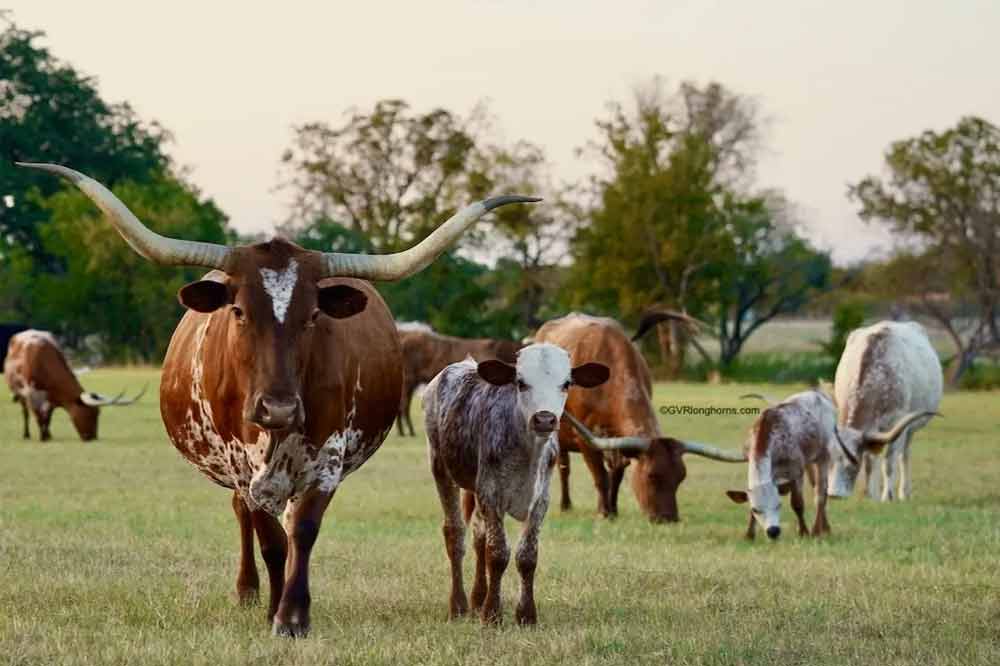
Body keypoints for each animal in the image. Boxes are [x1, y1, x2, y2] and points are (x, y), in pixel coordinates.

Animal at [2, 328, 145, 440]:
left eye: (98, 413)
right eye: (90, 413)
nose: (92, 437)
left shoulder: (52, 397)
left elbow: (48, 417)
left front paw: (48, 435)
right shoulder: (31, 393)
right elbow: (37, 415)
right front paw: (43, 437)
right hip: (19, 393)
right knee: (25, 412)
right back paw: (26, 434)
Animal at [19, 160, 536, 632]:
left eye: (313, 317)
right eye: (239, 312)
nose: (279, 408)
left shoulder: (327, 460)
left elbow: (302, 532)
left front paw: (293, 615)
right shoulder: (240, 465)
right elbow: (268, 540)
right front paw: (271, 608)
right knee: (244, 518)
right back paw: (248, 591)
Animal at [422, 342, 608, 624]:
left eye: (566, 383)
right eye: (521, 382)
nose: (544, 419)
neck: (527, 451)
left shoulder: (540, 500)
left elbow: (527, 555)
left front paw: (526, 614)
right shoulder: (491, 494)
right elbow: (498, 553)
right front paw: (492, 614)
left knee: (478, 536)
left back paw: (478, 597)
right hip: (441, 468)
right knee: (455, 532)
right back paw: (459, 604)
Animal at [532, 314, 744, 520]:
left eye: (681, 477)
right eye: (651, 476)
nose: (669, 518)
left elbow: (616, 475)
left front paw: (613, 510)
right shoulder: (585, 441)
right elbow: (601, 477)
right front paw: (603, 512)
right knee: (563, 468)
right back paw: (565, 506)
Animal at [828, 320, 944, 498]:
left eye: (852, 465)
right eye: (829, 461)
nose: (834, 494)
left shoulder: (897, 423)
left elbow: (889, 462)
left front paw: (887, 496)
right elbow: (870, 461)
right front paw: (869, 495)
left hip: (910, 429)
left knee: (904, 455)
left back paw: (904, 492)